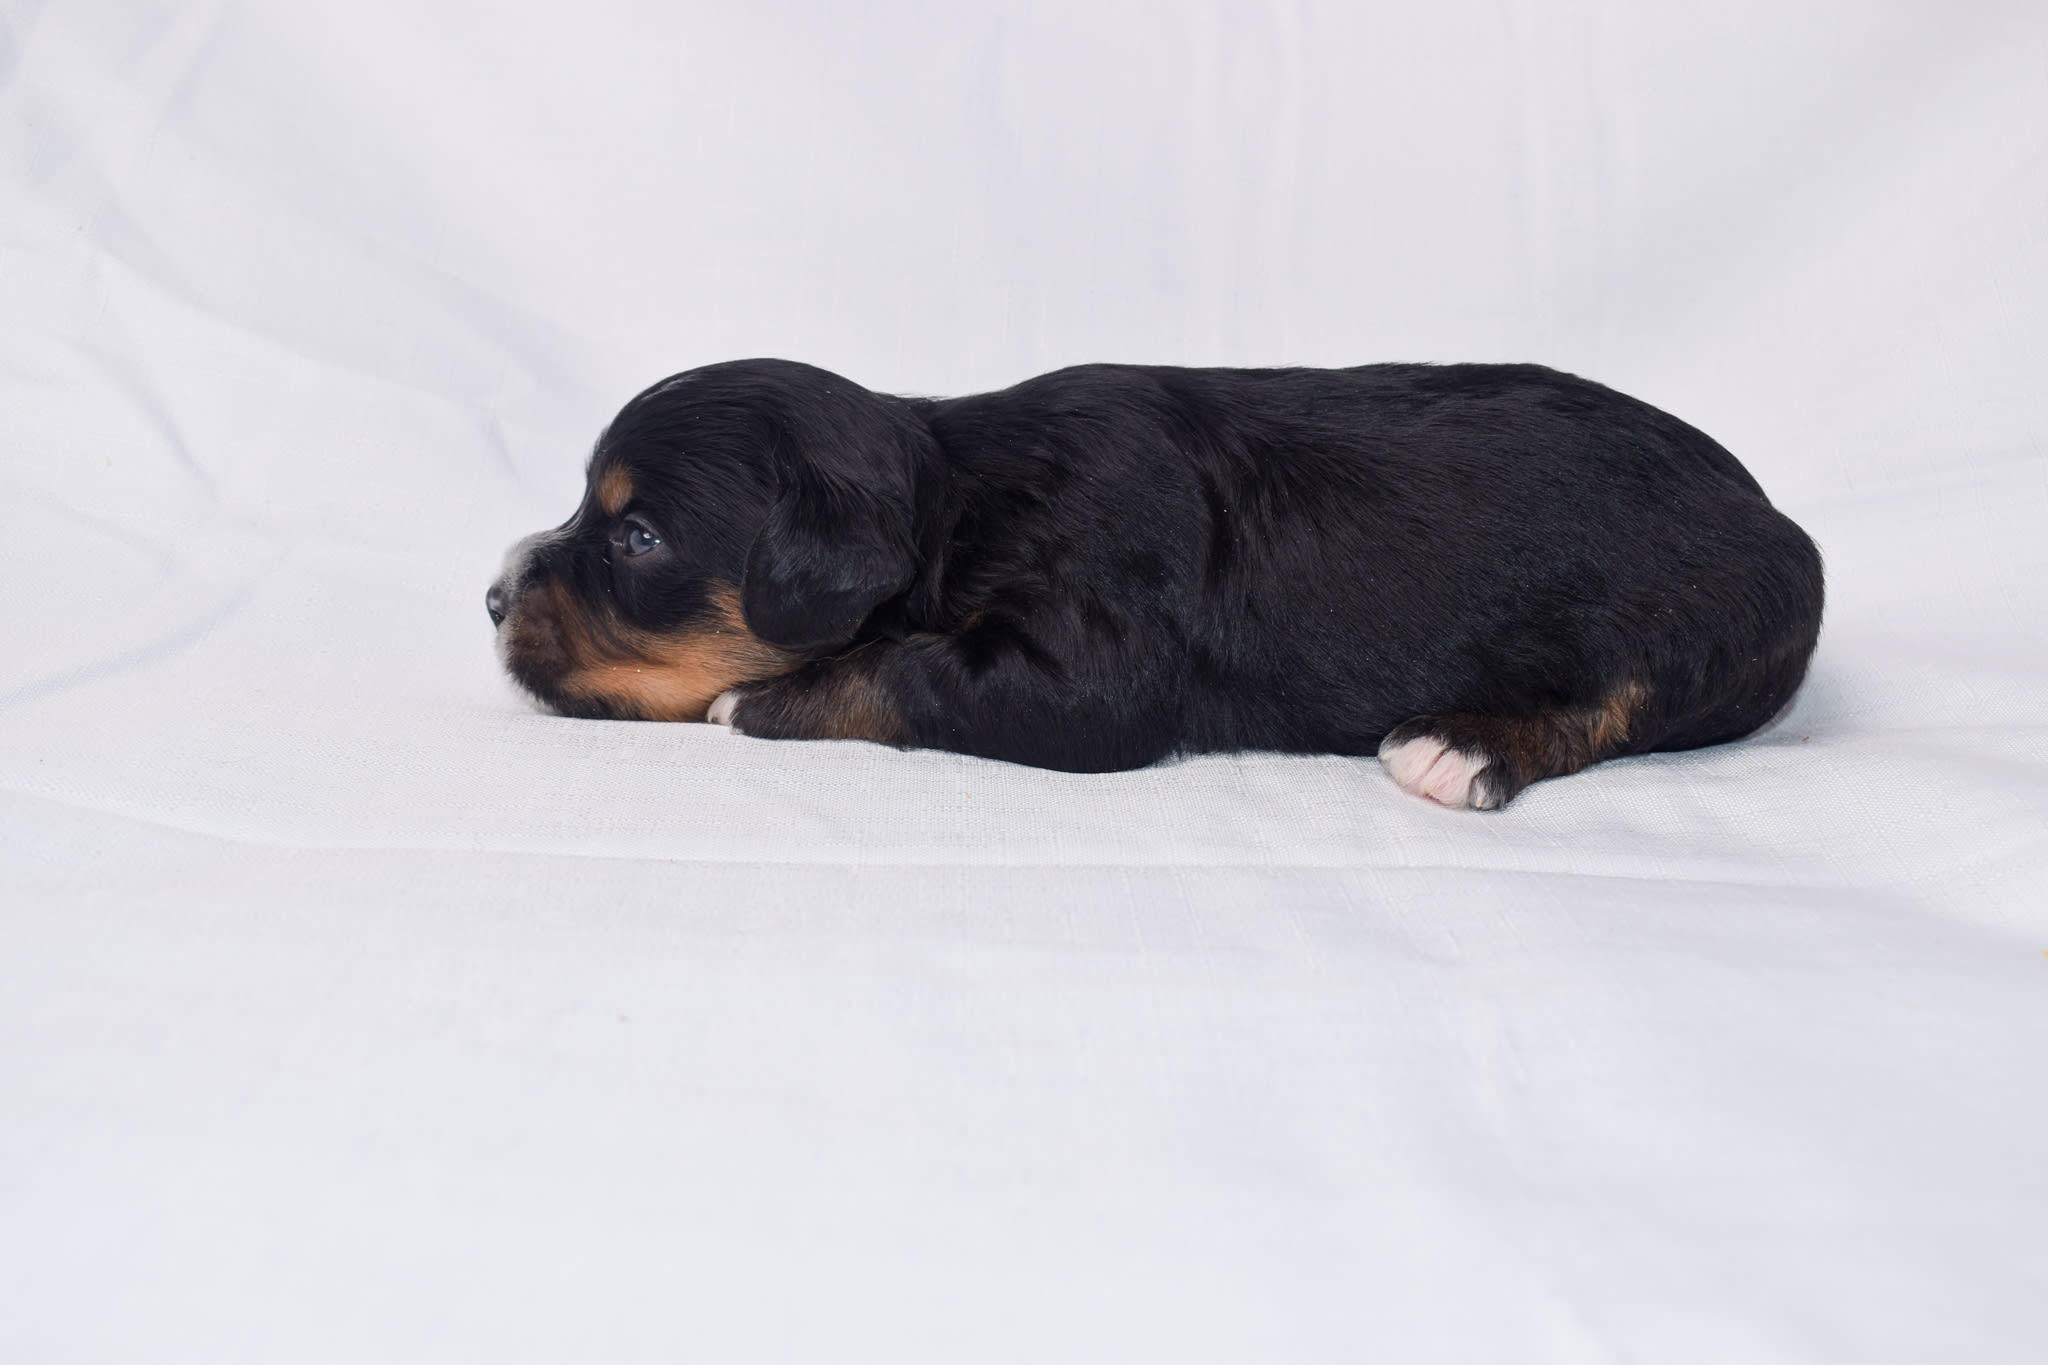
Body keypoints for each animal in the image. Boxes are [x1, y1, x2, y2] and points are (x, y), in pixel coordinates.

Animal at [491, 360, 1826, 810]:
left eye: (637, 538)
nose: (493, 598)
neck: (955, 501)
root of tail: (1777, 522)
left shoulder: (1092, 665)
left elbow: (901, 669)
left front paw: (759, 700)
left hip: (1694, 624)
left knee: (1615, 703)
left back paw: (1457, 748)